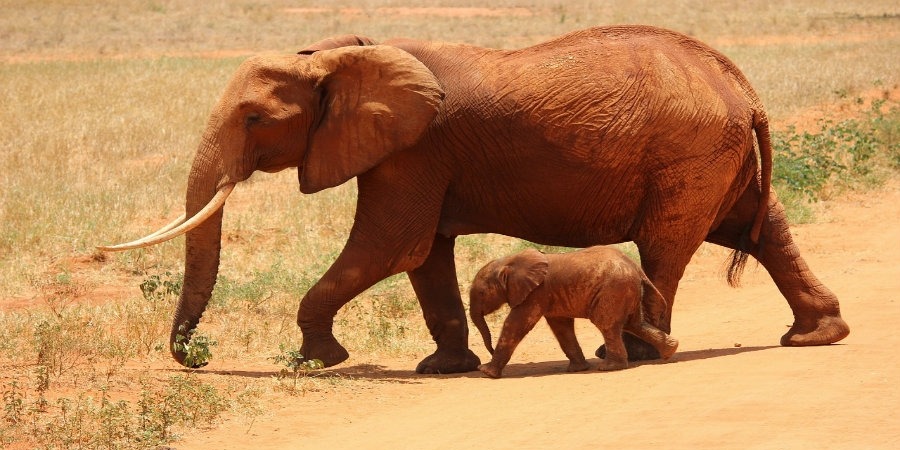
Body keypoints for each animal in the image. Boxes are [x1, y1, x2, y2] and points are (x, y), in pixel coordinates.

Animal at [472, 246, 676, 376]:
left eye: (481, 293)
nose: (489, 351)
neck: (509, 261)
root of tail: (637, 269)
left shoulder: (536, 293)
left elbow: (515, 324)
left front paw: (487, 372)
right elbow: (561, 328)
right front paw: (578, 369)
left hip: (613, 290)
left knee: (608, 325)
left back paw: (609, 367)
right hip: (626, 290)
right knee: (634, 324)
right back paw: (670, 351)